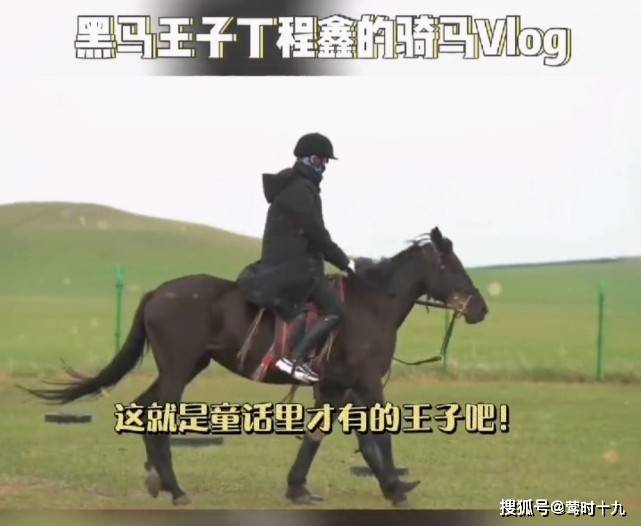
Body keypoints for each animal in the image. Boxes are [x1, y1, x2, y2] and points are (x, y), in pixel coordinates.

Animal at [23, 227, 488, 506]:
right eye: (450, 265)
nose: (480, 309)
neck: (371, 304)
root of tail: (158, 292)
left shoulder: (337, 388)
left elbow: (324, 437)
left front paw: (300, 488)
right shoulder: (368, 384)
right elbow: (380, 435)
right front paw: (396, 488)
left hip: (185, 367)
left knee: (143, 408)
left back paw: (157, 479)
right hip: (178, 370)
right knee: (157, 414)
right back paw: (175, 489)